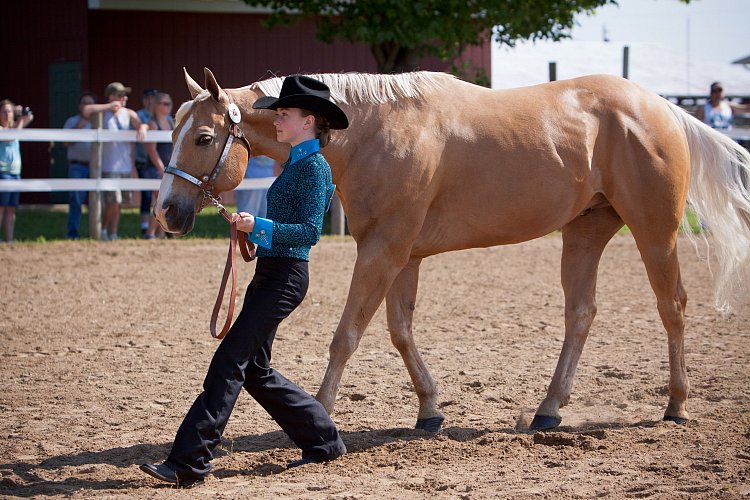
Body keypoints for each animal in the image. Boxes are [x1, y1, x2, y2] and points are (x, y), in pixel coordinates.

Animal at [154, 68, 750, 432]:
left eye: (203, 138)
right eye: (173, 130)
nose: (165, 211)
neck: (371, 131)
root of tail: (662, 108)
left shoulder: (383, 250)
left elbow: (347, 335)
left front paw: (320, 414)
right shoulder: (403, 255)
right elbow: (399, 331)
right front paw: (429, 410)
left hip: (654, 232)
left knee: (672, 306)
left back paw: (676, 404)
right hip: (585, 233)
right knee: (580, 314)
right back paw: (549, 410)